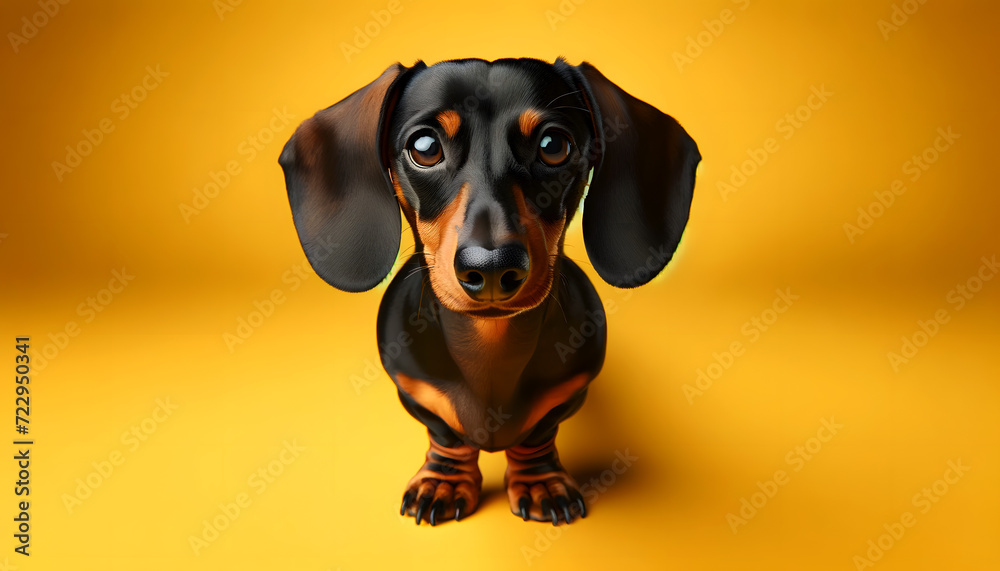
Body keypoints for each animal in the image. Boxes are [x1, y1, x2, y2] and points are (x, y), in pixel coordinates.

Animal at [282, 58, 700, 528]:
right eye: (425, 146)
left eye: (554, 145)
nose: (493, 267)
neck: (490, 349)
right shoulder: (415, 393)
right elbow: (446, 434)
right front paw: (442, 481)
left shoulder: (569, 392)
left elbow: (537, 435)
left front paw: (541, 482)